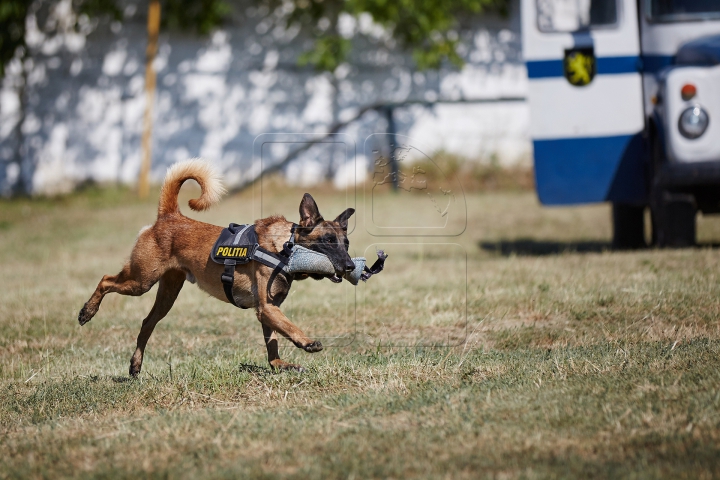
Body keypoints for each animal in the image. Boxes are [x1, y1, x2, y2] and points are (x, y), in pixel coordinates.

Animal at [79, 159, 358, 376]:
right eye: (327, 241)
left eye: (346, 243)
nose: (349, 266)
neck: (284, 247)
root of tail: (170, 216)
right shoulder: (268, 309)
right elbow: (290, 328)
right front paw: (308, 342)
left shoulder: (268, 310)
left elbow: (273, 343)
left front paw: (280, 365)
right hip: (141, 280)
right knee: (106, 280)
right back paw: (87, 312)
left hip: (167, 293)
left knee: (147, 323)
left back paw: (135, 365)